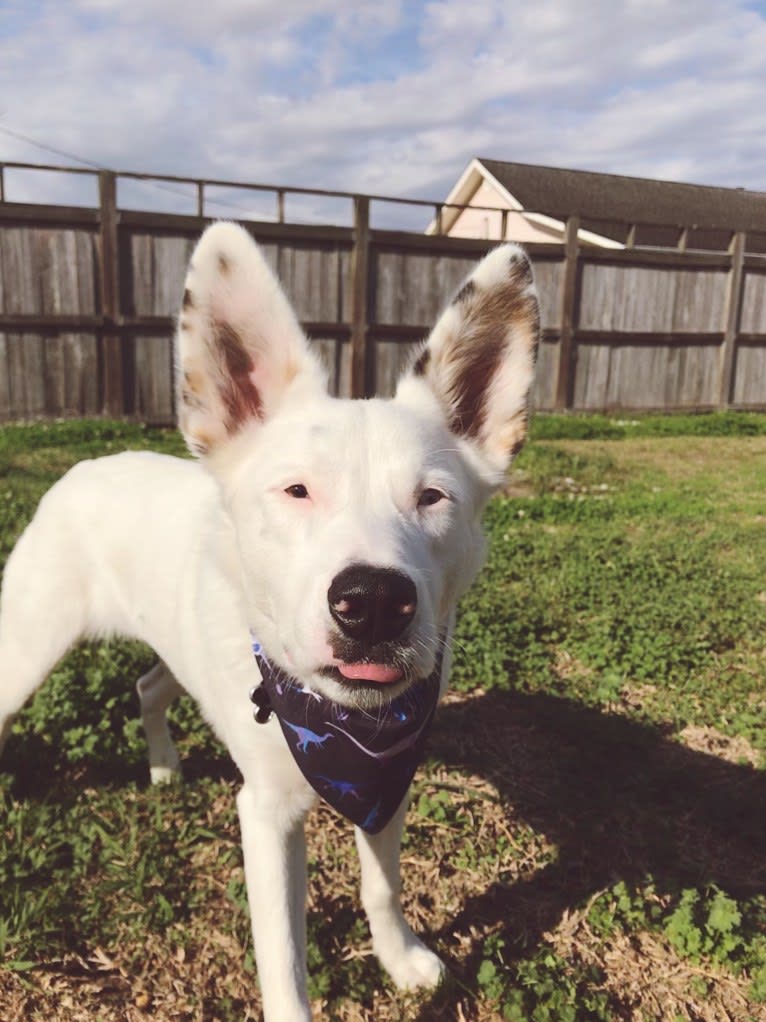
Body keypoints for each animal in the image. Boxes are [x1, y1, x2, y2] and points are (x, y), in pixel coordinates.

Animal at [0, 219, 539, 1017]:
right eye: (297, 491)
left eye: (433, 497)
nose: (372, 602)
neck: (343, 729)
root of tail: (84, 468)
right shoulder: (267, 816)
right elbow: (284, 961)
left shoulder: (387, 786)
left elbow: (384, 887)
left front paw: (399, 957)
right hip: (26, 650)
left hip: (180, 653)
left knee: (147, 688)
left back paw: (163, 767)